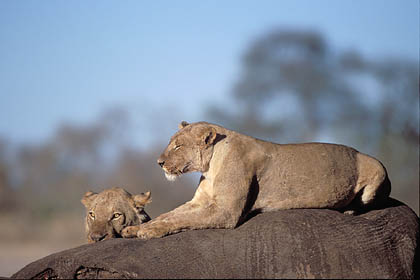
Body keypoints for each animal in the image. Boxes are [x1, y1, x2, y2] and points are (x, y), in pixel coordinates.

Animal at [121, 120, 390, 238]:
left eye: (177, 146)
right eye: (171, 143)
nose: (159, 162)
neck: (210, 167)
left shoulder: (225, 212)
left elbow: (182, 220)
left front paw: (149, 231)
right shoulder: (200, 202)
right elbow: (171, 215)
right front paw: (136, 228)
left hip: (376, 166)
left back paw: (349, 211)